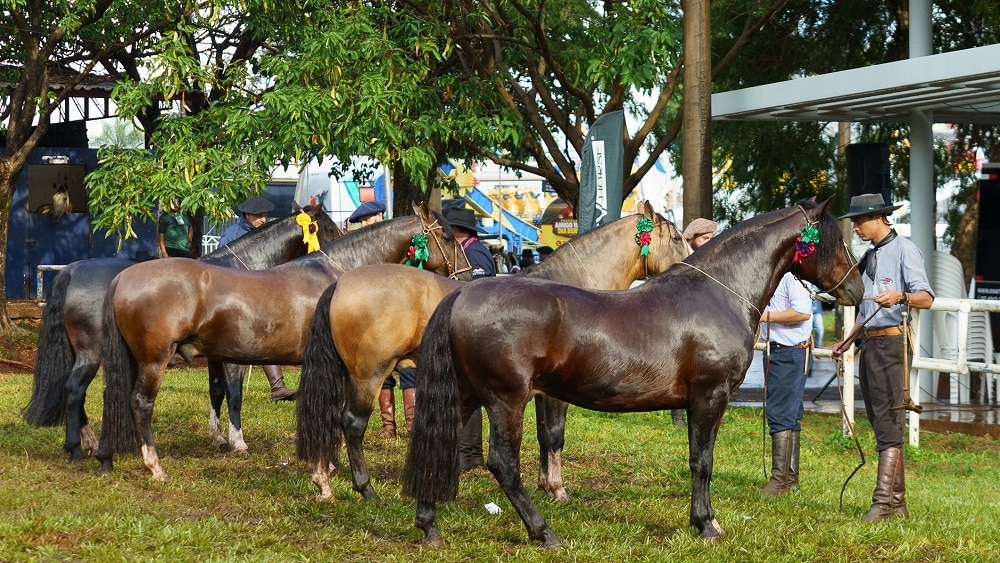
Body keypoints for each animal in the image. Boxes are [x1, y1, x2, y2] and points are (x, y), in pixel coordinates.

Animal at [22, 204, 341, 461]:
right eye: (325, 226)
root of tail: (70, 271)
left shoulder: (215, 354)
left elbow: (216, 391)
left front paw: (217, 436)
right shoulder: (232, 355)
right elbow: (233, 393)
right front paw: (237, 441)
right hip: (92, 352)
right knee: (74, 390)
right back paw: (78, 447)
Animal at [95, 203, 472, 480]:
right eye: (448, 236)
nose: (467, 277)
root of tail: (123, 277)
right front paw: (328, 464)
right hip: (154, 359)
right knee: (140, 403)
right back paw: (155, 466)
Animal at [295, 201, 689, 502]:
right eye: (676, 237)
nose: (691, 265)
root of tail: (340, 284)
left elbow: (544, 436)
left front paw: (546, 484)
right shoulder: (555, 394)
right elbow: (554, 435)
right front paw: (557, 489)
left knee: (327, 417)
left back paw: (324, 483)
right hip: (370, 374)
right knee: (351, 423)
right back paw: (366, 491)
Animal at [402, 199, 864, 547]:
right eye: (836, 240)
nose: (857, 289)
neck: (718, 293)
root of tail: (462, 294)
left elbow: (698, 459)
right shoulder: (710, 397)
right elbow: (702, 461)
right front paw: (706, 525)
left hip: (466, 395)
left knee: (438, 441)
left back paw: (429, 525)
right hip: (505, 399)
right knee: (503, 463)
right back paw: (543, 532)